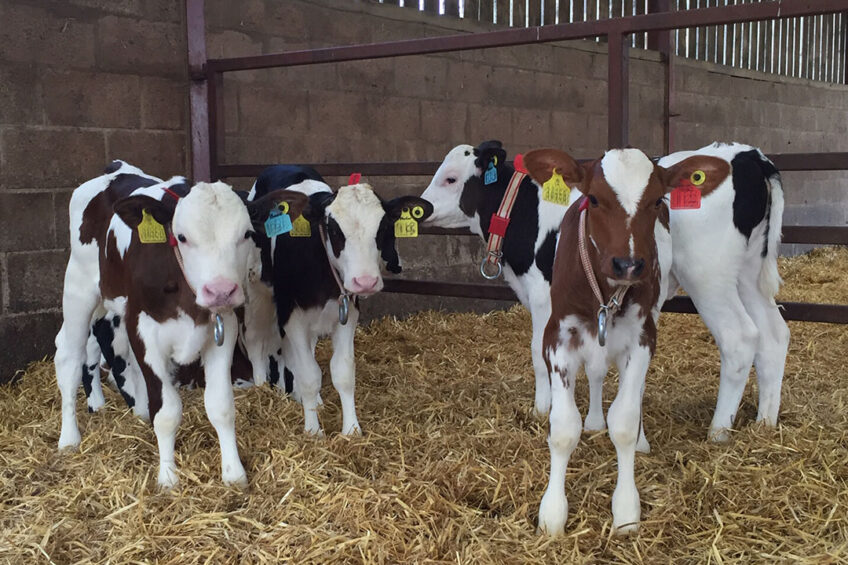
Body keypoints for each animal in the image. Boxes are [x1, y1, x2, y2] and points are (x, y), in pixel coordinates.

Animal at [53, 161, 304, 486]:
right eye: (181, 237)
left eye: (248, 233)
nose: (221, 290)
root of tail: (117, 169)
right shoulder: (144, 331)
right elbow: (167, 412)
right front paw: (168, 477)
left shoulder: (223, 329)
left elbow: (221, 406)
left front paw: (233, 473)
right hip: (79, 287)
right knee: (69, 356)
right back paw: (69, 437)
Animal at [243, 165, 430, 434]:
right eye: (333, 230)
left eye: (383, 227)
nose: (365, 281)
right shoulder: (292, 316)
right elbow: (309, 375)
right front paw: (313, 431)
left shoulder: (347, 313)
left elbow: (343, 372)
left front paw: (351, 429)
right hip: (257, 292)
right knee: (256, 341)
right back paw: (262, 390)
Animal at [528, 147, 724, 532]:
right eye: (594, 199)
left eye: (656, 200)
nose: (629, 265)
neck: (605, 295)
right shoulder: (557, 337)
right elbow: (563, 427)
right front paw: (553, 513)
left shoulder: (643, 337)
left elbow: (624, 422)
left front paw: (626, 510)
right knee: (596, 373)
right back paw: (593, 421)